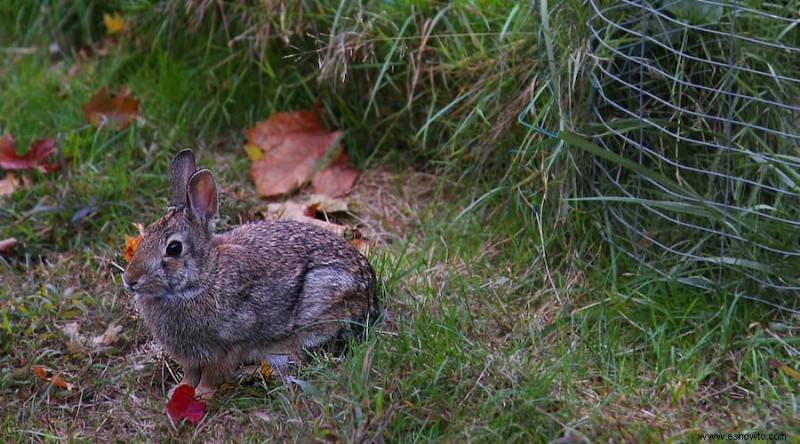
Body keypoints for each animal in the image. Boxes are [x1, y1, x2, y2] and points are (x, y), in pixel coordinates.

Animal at [122, 149, 378, 398]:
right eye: (147, 233)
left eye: (174, 248)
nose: (129, 280)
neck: (205, 277)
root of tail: (371, 297)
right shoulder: (191, 356)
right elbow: (190, 374)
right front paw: (178, 391)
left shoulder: (230, 343)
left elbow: (212, 374)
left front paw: (201, 395)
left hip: (313, 315)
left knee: (297, 359)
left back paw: (247, 373)